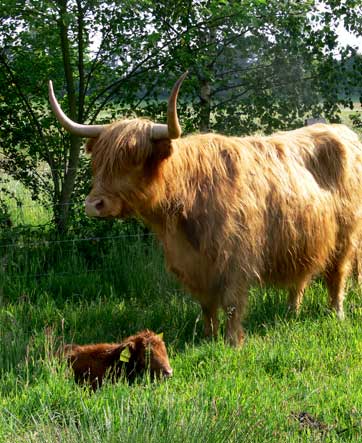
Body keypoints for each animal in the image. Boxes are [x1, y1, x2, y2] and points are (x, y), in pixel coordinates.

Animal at [49, 74, 362, 348]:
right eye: (98, 162)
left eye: (133, 159)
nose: (93, 205)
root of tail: (344, 133)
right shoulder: (194, 265)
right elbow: (206, 305)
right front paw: (208, 337)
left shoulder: (236, 258)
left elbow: (233, 303)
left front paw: (232, 342)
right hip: (302, 240)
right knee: (300, 278)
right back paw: (290, 313)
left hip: (345, 238)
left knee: (337, 276)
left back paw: (336, 314)